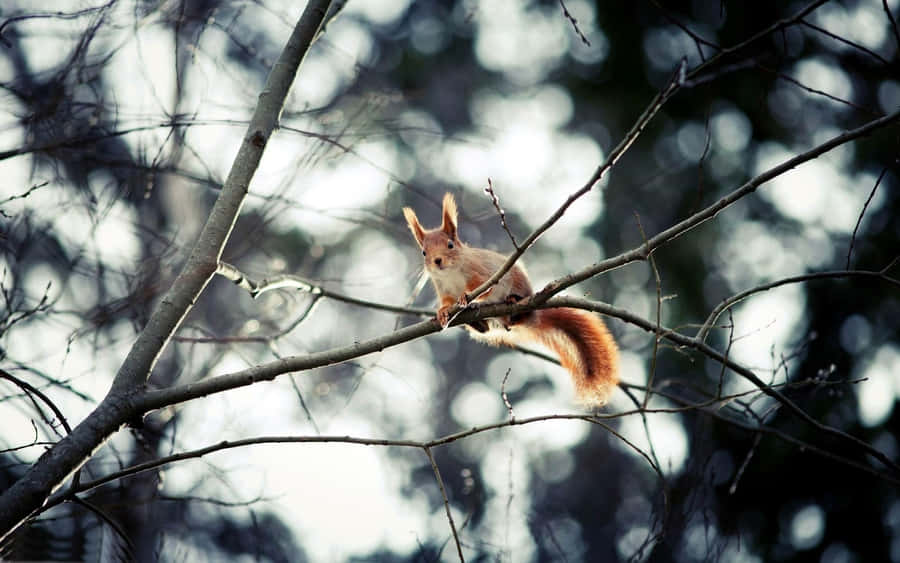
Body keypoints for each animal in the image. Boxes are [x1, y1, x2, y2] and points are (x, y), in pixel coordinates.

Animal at [402, 193, 619, 405]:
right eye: (424, 252)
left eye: (450, 245)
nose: (437, 261)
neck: (451, 273)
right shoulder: (444, 289)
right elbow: (447, 302)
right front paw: (442, 313)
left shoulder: (483, 274)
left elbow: (482, 289)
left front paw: (467, 297)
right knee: (487, 329)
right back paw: (478, 323)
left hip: (519, 285)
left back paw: (513, 301)